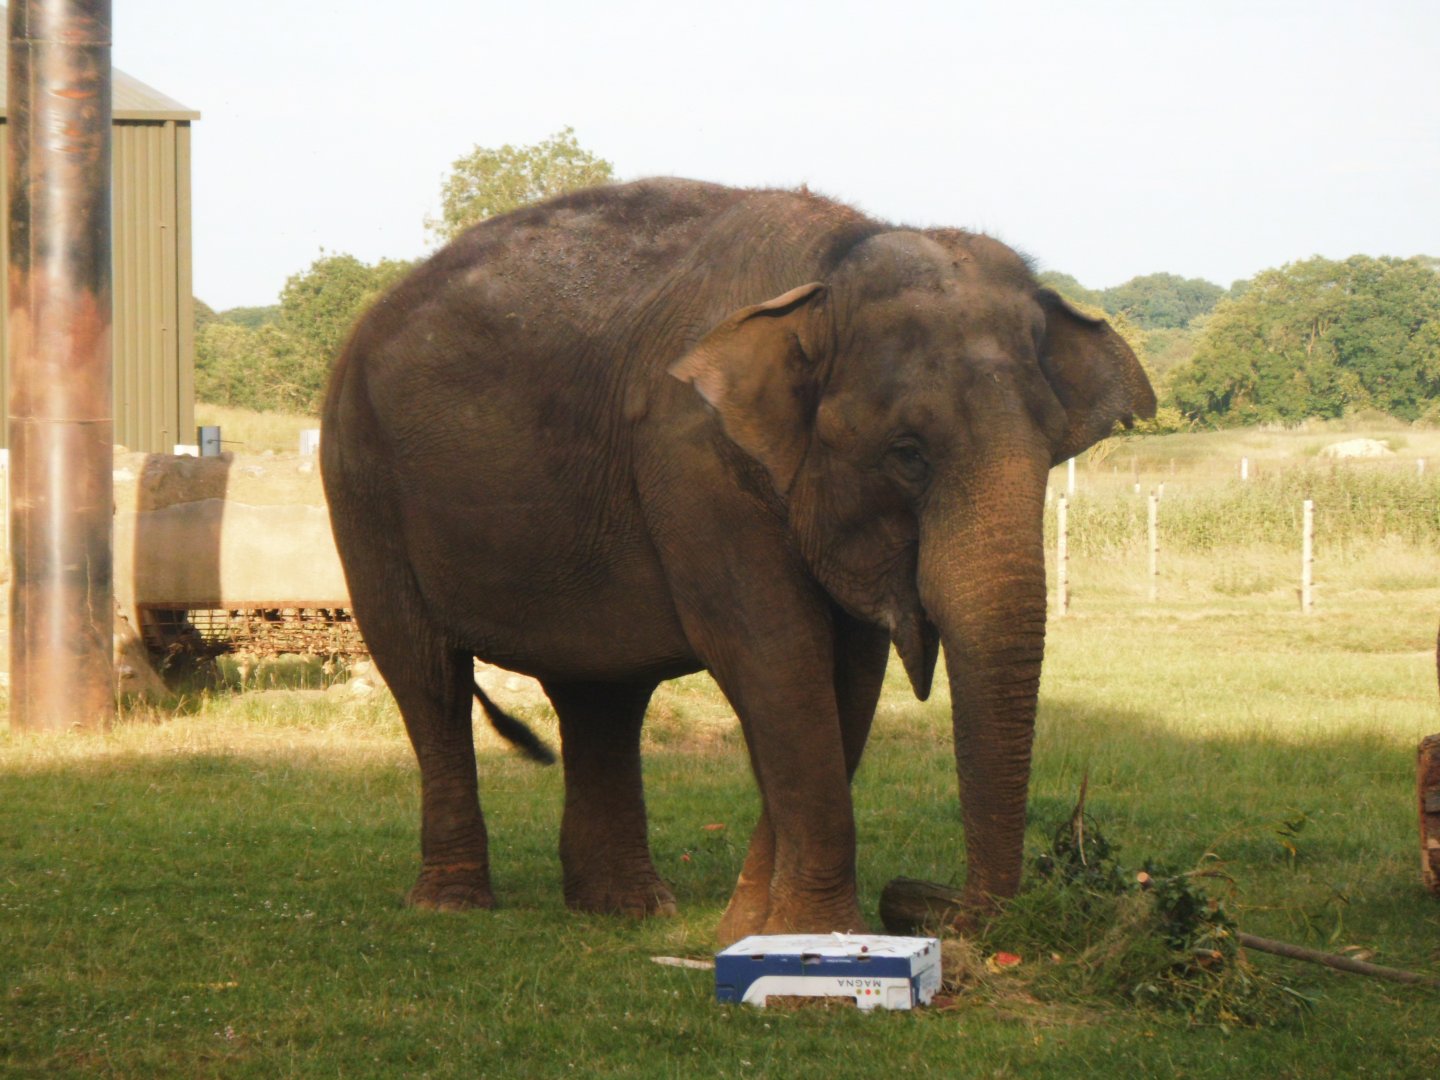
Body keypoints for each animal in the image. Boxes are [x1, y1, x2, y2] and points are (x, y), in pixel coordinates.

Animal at [320, 177, 1155, 942]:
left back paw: (624, 909)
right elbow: (776, 657)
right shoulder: (696, 462)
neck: (825, 276)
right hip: (361, 483)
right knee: (427, 674)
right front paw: (813, 942)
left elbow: (846, 678)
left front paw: (754, 931)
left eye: (1053, 451)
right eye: (907, 454)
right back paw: (453, 904)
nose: (931, 907)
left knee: (601, 697)